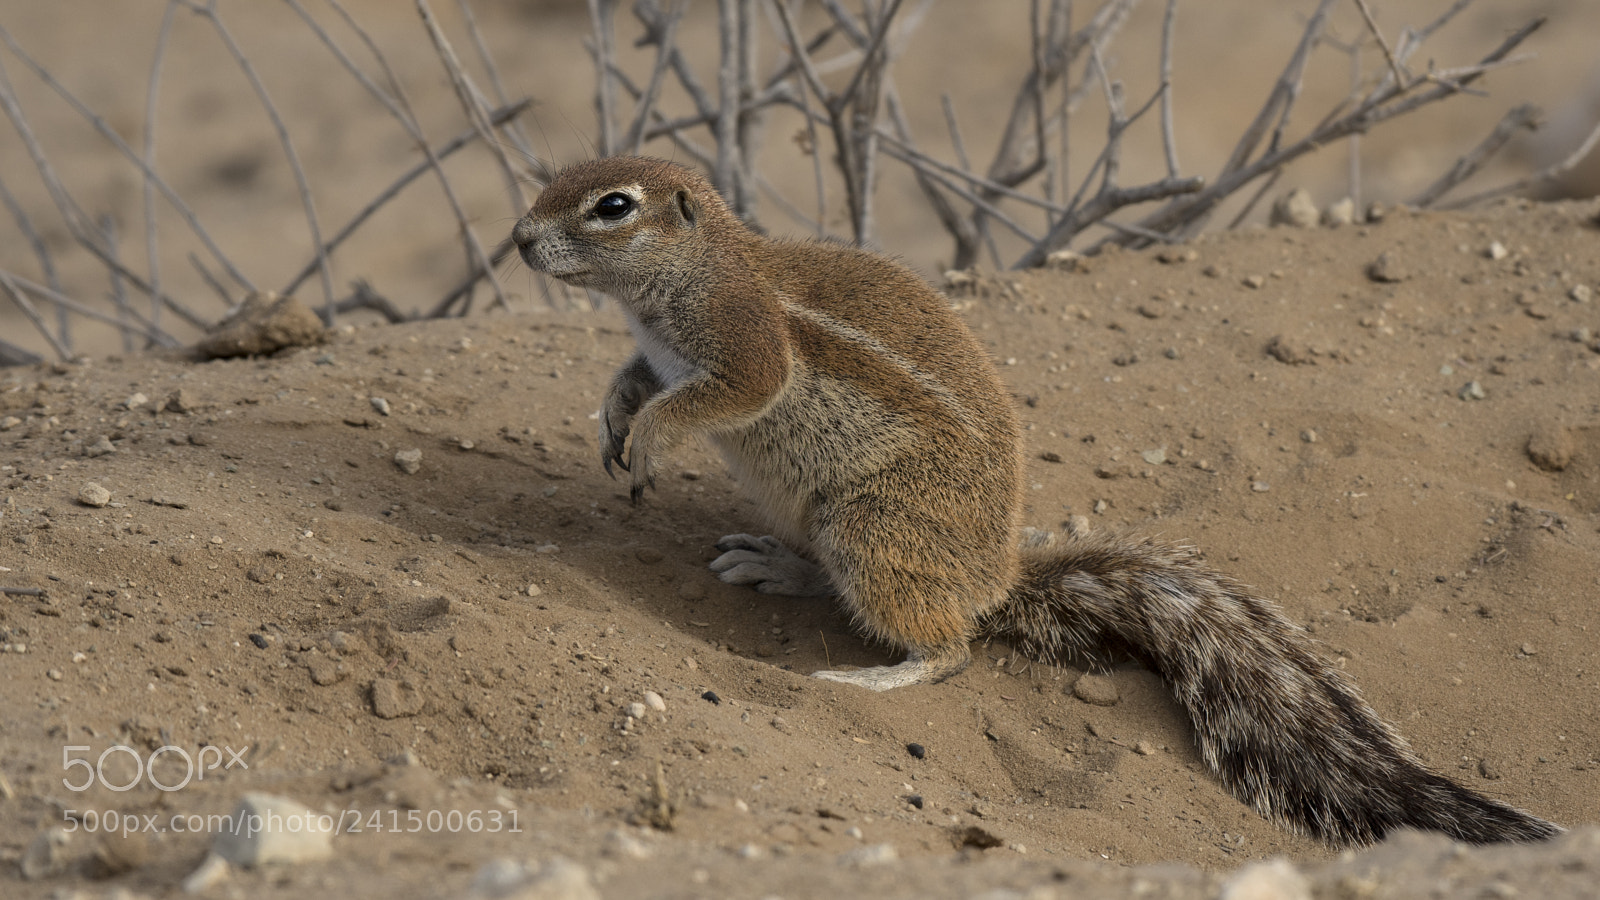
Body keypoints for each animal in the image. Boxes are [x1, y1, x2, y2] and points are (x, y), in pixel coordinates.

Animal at [510, 156, 1560, 846]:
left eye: (612, 206)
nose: (517, 239)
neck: (691, 274)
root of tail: (998, 579)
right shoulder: (657, 353)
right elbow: (634, 380)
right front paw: (614, 421)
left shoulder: (745, 344)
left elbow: (722, 394)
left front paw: (649, 440)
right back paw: (775, 566)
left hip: (873, 526)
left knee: (954, 648)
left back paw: (874, 677)